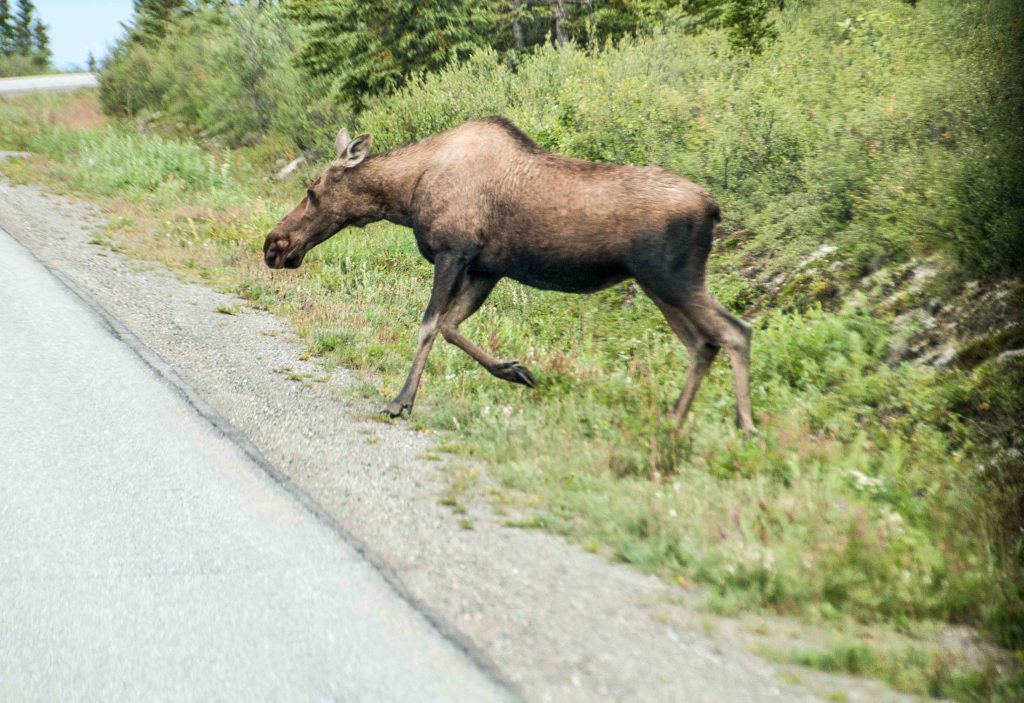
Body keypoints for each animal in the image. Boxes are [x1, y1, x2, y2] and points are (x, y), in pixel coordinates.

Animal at [264, 117, 754, 431]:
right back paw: (673, 419)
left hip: (674, 278)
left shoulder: (453, 252)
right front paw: (515, 370)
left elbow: (428, 325)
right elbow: (450, 326)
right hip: (660, 286)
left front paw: (402, 401)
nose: (274, 245)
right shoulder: (486, 268)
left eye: (312, 190)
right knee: (702, 344)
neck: (404, 196)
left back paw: (744, 425)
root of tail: (714, 208)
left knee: (735, 331)